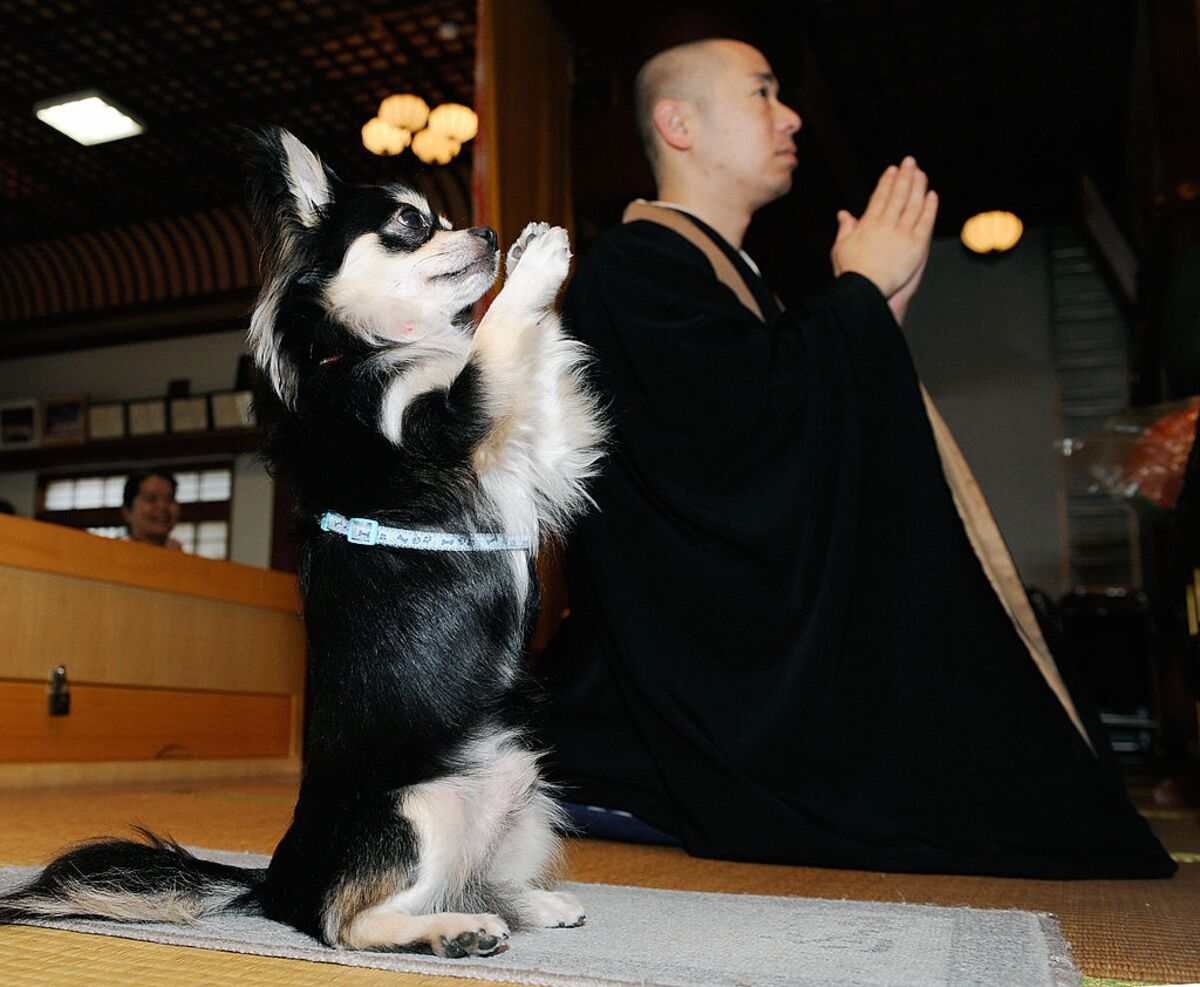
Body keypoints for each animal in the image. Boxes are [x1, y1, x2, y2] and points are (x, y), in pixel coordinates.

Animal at [0, 129, 600, 960]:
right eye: (411, 223)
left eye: (449, 218)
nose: (484, 232)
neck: (372, 350)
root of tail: (276, 878)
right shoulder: (444, 422)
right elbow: (494, 340)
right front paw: (537, 265)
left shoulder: (536, 451)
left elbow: (534, 370)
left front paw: (541, 267)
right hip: (417, 811)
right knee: (344, 920)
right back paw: (454, 931)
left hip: (523, 796)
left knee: (469, 881)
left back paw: (527, 904)